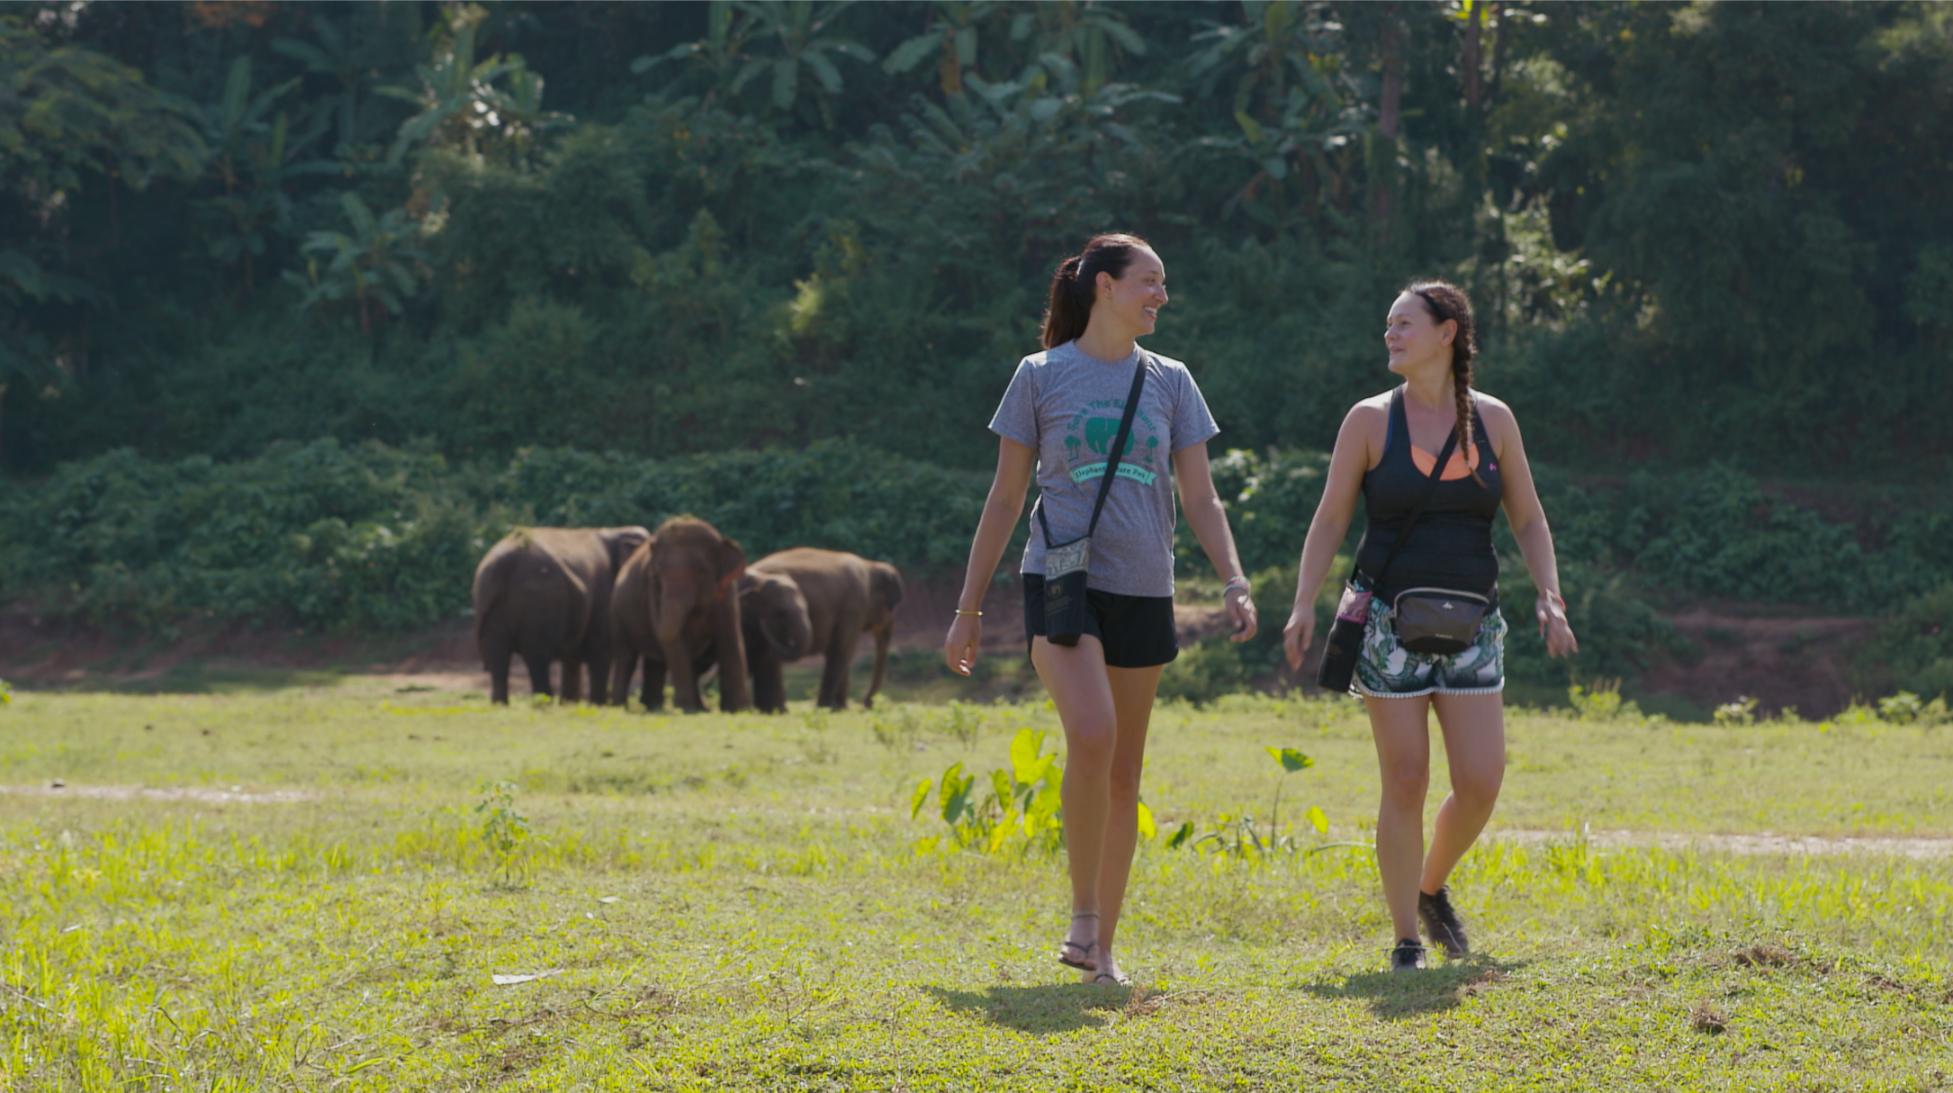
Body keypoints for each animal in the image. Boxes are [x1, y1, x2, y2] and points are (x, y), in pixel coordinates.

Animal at [474, 526, 652, 702]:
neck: (616, 531)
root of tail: (504, 562)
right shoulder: (604, 596)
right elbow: (601, 651)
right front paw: (597, 705)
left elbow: (572, 660)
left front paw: (570, 703)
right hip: (540, 602)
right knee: (537, 659)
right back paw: (543, 702)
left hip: (491, 600)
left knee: (498, 660)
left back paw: (501, 703)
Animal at [609, 515, 753, 714]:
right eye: (657, 575)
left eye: (701, 571)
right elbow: (674, 644)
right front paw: (688, 709)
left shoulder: (726, 594)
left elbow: (731, 639)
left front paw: (740, 710)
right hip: (618, 613)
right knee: (626, 656)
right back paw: (622, 706)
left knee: (656, 662)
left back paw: (655, 706)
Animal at [730, 550, 902, 714]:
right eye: (892, 607)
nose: (866, 705)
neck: (870, 566)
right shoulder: (854, 605)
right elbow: (842, 650)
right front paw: (827, 708)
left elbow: (842, 651)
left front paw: (839, 709)